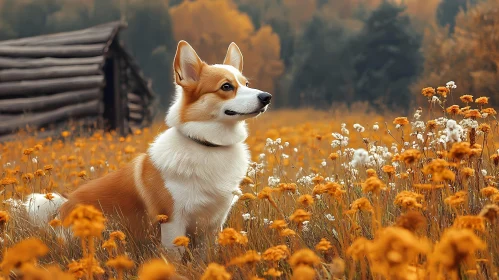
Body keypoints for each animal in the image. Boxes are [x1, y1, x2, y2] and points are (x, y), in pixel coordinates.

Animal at [25, 40, 272, 250]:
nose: (266, 97)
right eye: (226, 87)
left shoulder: (213, 224)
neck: (208, 145)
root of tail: (61, 209)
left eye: (247, 84)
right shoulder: (172, 221)